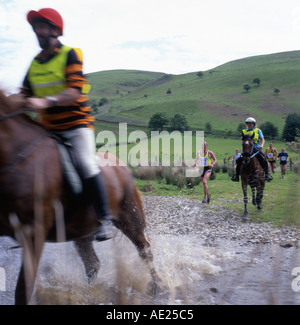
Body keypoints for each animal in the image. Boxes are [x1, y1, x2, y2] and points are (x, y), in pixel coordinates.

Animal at [0, 90, 161, 304]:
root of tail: (120, 163)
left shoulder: (33, 234)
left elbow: (23, 290)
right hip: (82, 231)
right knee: (93, 264)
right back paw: (88, 293)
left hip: (130, 219)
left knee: (145, 251)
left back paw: (157, 287)